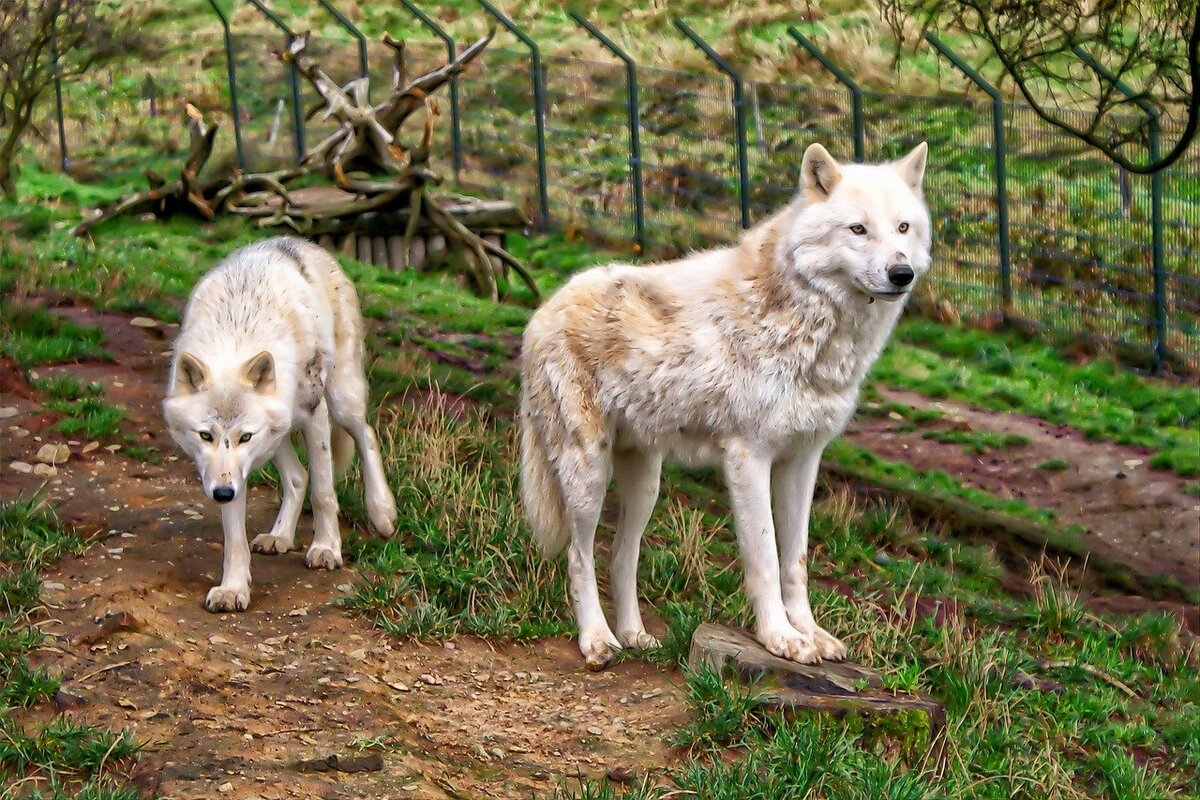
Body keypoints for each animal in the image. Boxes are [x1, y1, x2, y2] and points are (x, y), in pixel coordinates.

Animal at [164, 237, 396, 614]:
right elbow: (235, 536)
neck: (237, 336)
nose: (223, 494)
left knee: (366, 435)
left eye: (245, 436)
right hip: (279, 434)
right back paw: (279, 536)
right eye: (205, 435)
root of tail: (299, 242)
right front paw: (232, 589)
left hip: (340, 400)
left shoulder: (314, 412)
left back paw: (382, 512)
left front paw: (326, 548)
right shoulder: (231, 472)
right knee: (297, 476)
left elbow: (324, 491)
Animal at [520, 143, 931, 671]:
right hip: (587, 473)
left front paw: (811, 634)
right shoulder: (748, 458)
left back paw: (634, 636)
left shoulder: (803, 460)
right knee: (579, 555)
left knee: (622, 557)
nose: (902, 274)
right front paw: (781, 638)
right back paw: (597, 640)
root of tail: (542, 309)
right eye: (858, 229)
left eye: (903, 227)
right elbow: (766, 558)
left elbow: (796, 561)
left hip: (646, 482)